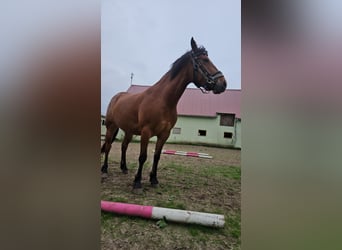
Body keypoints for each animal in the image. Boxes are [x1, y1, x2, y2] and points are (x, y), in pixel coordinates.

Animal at [100, 37, 226, 190]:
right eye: (205, 60)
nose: (223, 84)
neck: (163, 100)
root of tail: (116, 97)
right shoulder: (146, 132)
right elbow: (143, 156)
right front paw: (137, 182)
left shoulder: (164, 134)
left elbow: (157, 156)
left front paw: (154, 179)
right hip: (111, 127)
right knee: (108, 146)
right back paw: (104, 169)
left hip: (129, 131)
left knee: (124, 146)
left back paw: (124, 168)